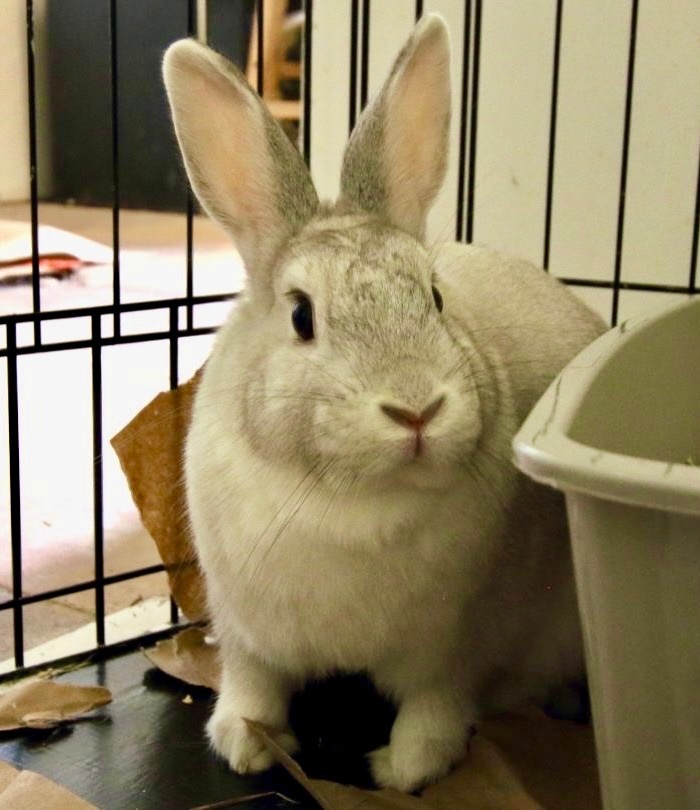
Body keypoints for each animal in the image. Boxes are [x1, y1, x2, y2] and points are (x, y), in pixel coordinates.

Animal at [162, 13, 606, 793]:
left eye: (435, 296)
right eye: (301, 316)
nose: (416, 410)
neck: (346, 502)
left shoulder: (452, 646)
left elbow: (434, 705)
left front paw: (405, 770)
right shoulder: (246, 633)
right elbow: (254, 685)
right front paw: (243, 744)